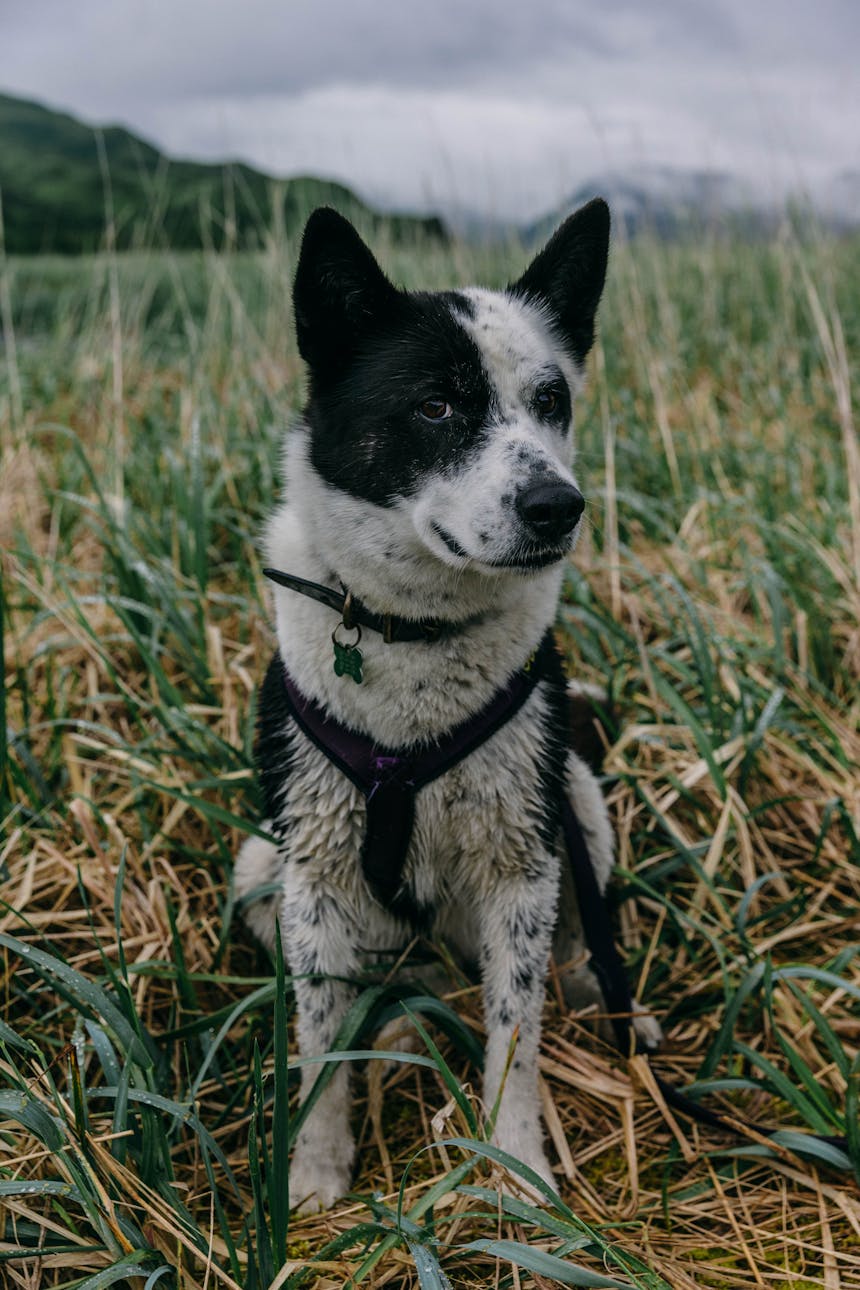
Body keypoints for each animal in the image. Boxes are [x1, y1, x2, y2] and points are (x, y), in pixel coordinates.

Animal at [235, 198, 660, 1207]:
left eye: (553, 401)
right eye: (436, 406)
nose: (559, 506)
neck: (414, 634)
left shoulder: (521, 866)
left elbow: (516, 1035)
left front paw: (517, 1168)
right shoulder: (313, 874)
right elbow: (319, 1046)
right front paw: (315, 1173)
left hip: (576, 802)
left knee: (570, 951)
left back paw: (608, 1008)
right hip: (257, 869)